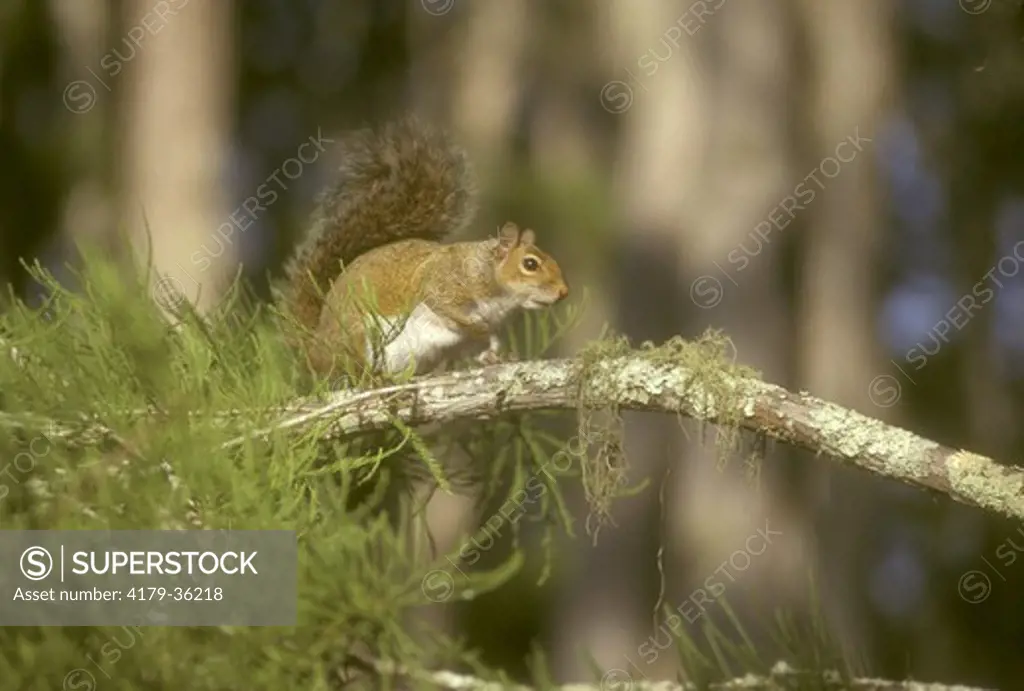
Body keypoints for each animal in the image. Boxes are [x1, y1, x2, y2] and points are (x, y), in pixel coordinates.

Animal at [278, 117, 569, 378]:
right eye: (530, 264)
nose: (564, 292)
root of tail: (313, 349)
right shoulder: (443, 283)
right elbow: (448, 308)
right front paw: (479, 326)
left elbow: (480, 348)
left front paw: (499, 356)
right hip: (357, 334)